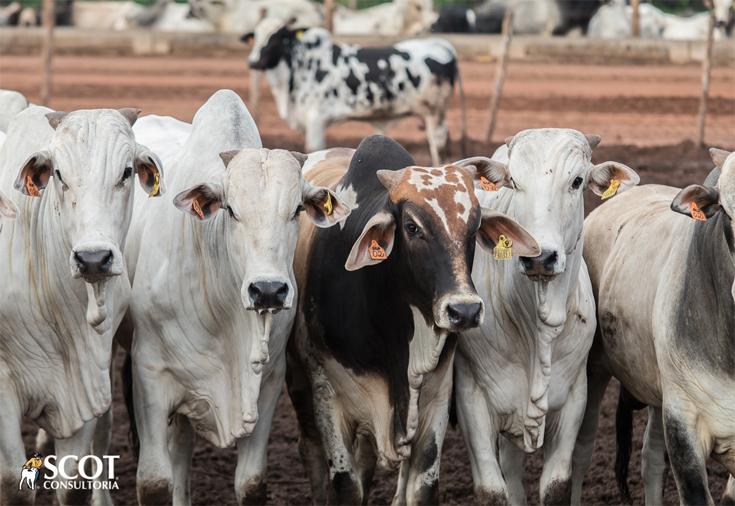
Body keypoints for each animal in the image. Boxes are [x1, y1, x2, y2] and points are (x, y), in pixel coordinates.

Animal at [247, 18, 466, 166]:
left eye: (278, 37)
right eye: (255, 36)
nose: (254, 62)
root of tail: (442, 44)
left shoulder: (316, 119)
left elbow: (313, 150)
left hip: (433, 112)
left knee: (437, 143)